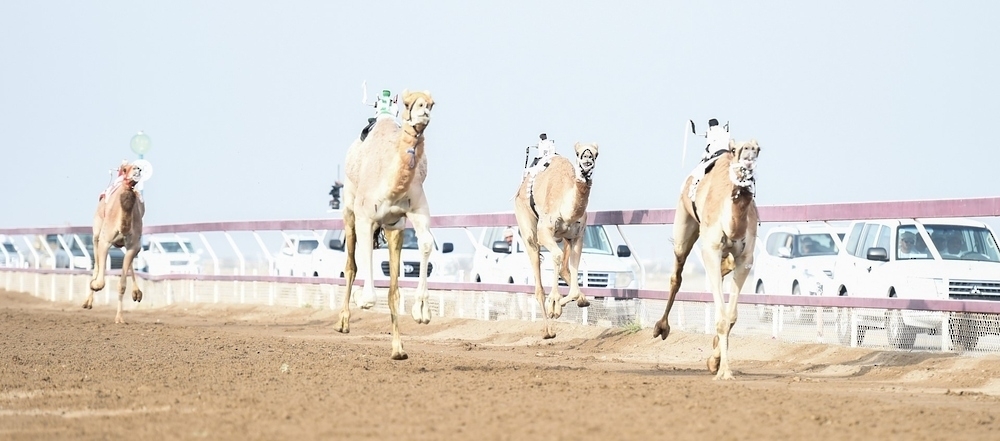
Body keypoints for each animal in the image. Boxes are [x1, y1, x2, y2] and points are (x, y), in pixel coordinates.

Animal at [84, 161, 146, 324]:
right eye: (125, 169)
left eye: (138, 167)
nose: (138, 169)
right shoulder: (105, 241)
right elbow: (100, 280)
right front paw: (94, 285)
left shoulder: (133, 246)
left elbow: (122, 285)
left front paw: (119, 318)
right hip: (96, 233)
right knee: (96, 265)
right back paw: (87, 301)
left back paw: (137, 293)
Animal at [336, 89, 435, 360]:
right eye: (409, 103)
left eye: (432, 104)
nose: (423, 111)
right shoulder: (364, 217)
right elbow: (364, 276)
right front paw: (362, 298)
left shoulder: (414, 212)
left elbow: (425, 244)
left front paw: (422, 311)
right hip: (349, 211)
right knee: (351, 265)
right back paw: (343, 322)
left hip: (393, 229)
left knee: (393, 289)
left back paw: (398, 348)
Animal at [513, 140, 599, 339]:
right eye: (578, 153)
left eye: (597, 153)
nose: (587, 161)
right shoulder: (544, 231)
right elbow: (557, 256)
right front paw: (554, 304)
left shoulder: (577, 237)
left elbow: (573, 288)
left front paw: (563, 303)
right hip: (528, 230)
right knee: (538, 282)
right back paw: (547, 331)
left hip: (564, 238)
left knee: (565, 268)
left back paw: (582, 300)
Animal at [653, 138, 760, 380]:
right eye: (735, 149)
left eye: (759, 149)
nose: (748, 152)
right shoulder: (710, 249)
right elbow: (722, 318)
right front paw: (724, 371)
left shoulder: (746, 259)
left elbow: (731, 316)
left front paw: (715, 361)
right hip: (683, 225)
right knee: (676, 275)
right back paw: (661, 327)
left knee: (722, 269)